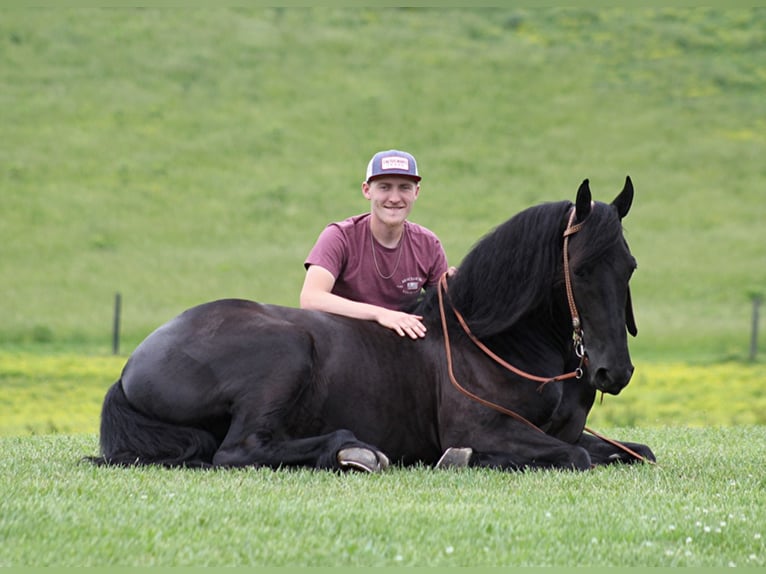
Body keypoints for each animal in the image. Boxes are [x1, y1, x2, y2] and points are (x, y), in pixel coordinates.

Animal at [88, 179, 656, 472]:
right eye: (580, 270)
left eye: (629, 266)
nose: (613, 373)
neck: (494, 343)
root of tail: (134, 364)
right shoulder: (483, 428)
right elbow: (573, 457)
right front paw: (465, 459)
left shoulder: (571, 431)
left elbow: (632, 451)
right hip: (284, 354)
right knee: (239, 450)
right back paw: (352, 449)